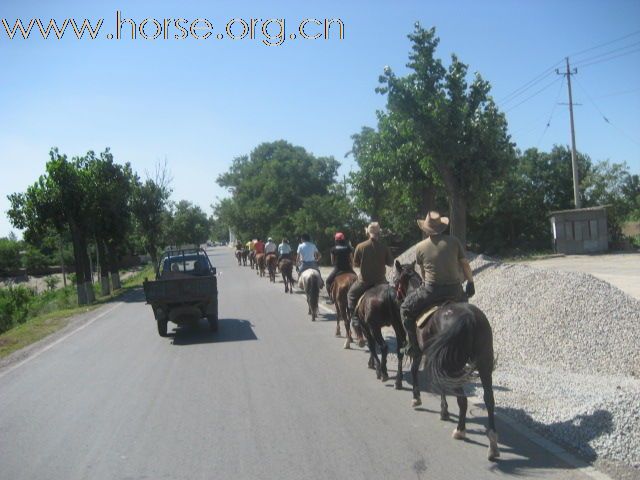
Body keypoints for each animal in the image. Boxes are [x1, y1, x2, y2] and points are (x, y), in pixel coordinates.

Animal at [396, 262, 500, 462]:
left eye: (395, 279)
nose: (397, 297)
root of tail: (469, 317)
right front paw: (443, 410)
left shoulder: (421, 353)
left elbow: (415, 371)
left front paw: (418, 399)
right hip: (484, 362)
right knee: (489, 399)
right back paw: (492, 444)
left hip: (453, 365)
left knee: (462, 399)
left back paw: (460, 430)